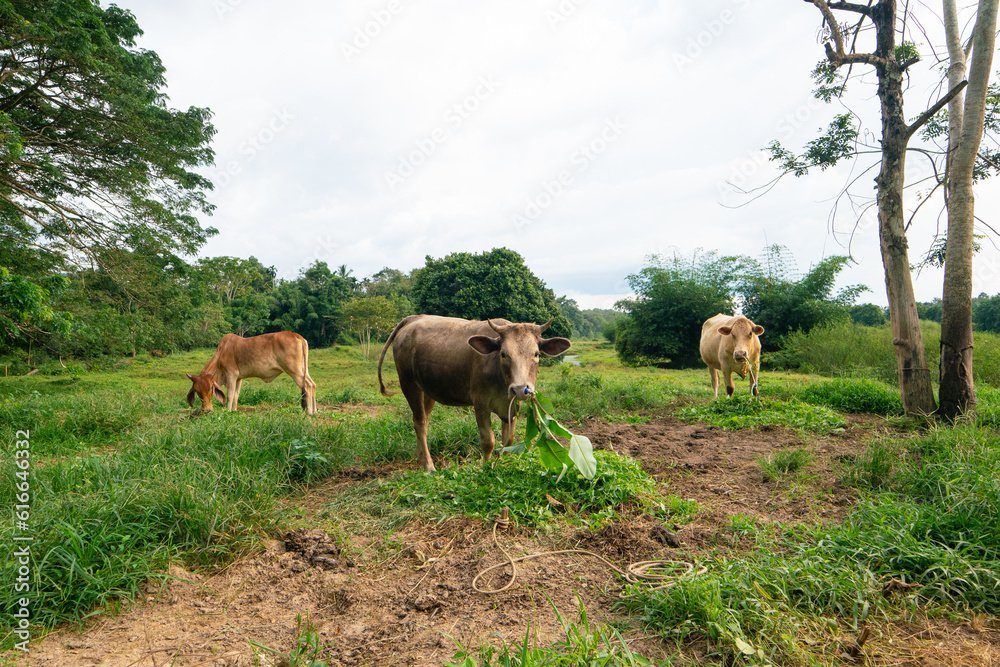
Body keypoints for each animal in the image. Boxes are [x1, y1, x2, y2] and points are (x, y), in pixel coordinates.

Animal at [186, 332, 317, 415]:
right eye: (197, 391)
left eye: (210, 388)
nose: (206, 410)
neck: (221, 353)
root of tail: (298, 336)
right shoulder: (239, 378)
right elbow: (236, 395)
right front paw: (234, 411)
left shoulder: (231, 374)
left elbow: (230, 395)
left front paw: (228, 411)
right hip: (303, 370)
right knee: (313, 384)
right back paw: (314, 411)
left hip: (294, 370)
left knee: (308, 385)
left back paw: (309, 411)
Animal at [377, 315, 572, 472]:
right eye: (503, 354)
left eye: (536, 354)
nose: (519, 388)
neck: (501, 379)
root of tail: (413, 319)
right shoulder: (480, 404)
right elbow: (488, 441)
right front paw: (486, 467)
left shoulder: (512, 407)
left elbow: (508, 441)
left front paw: (504, 464)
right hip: (409, 384)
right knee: (419, 423)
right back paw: (428, 465)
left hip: (427, 390)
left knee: (422, 420)